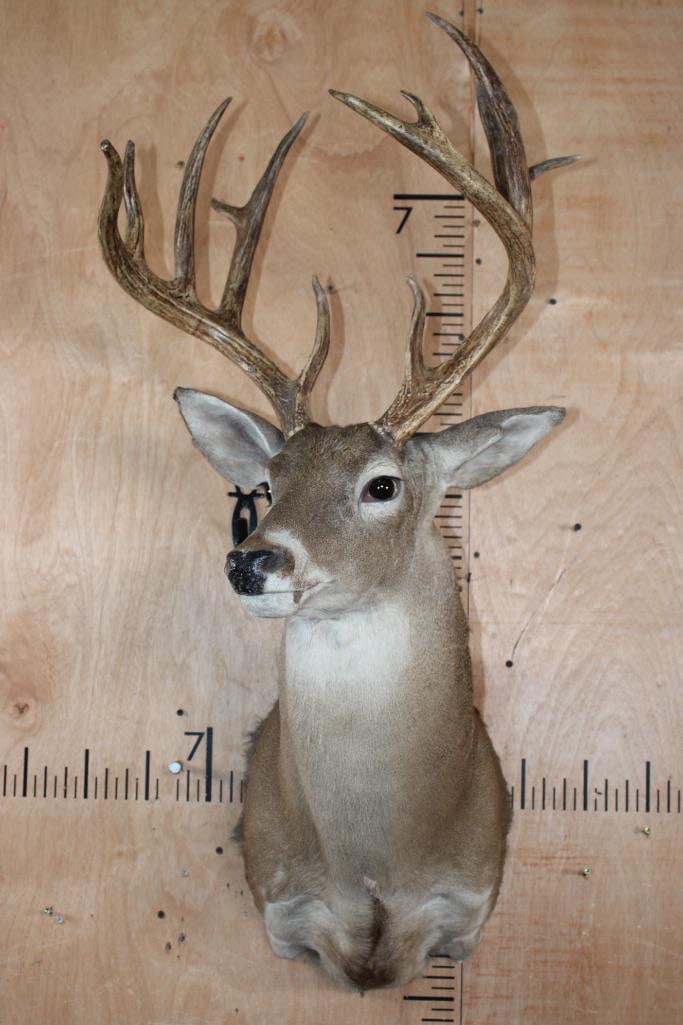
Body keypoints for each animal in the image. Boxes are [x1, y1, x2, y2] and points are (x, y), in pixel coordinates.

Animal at [98, 14, 575, 991]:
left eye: (382, 483)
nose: (252, 560)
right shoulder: (284, 911)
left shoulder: (466, 906)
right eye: (268, 484)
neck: (376, 858)